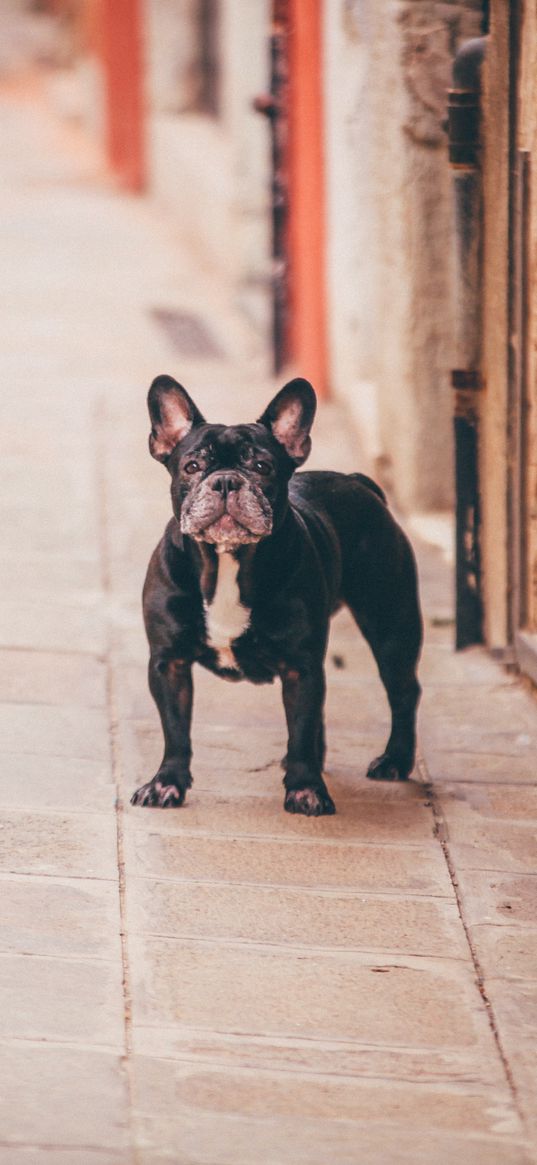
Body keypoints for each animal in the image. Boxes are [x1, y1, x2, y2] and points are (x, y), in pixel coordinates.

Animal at [131, 377, 421, 815]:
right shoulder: (170, 664)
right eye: (192, 467)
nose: (226, 480)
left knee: (402, 691)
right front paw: (167, 783)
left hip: (390, 625)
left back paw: (395, 761)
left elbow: (299, 728)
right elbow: (176, 729)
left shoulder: (301, 667)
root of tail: (358, 481)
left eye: (262, 467)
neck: (226, 563)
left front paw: (305, 788)